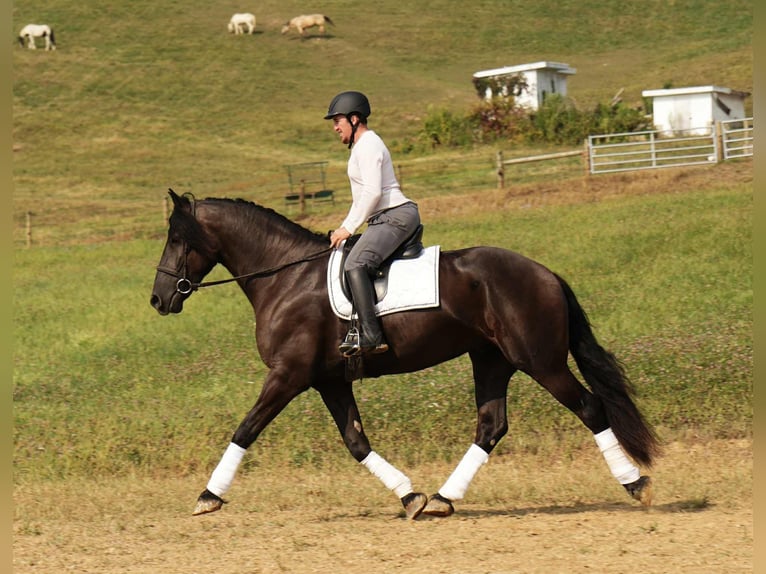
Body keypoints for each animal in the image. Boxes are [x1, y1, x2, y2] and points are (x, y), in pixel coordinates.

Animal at [150, 189, 660, 519]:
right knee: (491, 426)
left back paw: (636, 484)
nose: (159, 300)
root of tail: (546, 273)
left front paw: (208, 496)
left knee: (590, 407)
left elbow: (245, 429)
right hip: (491, 361)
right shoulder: (328, 380)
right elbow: (356, 442)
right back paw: (442, 499)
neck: (284, 277)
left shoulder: (288, 375)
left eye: (176, 239)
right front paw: (409, 496)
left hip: (541, 362)